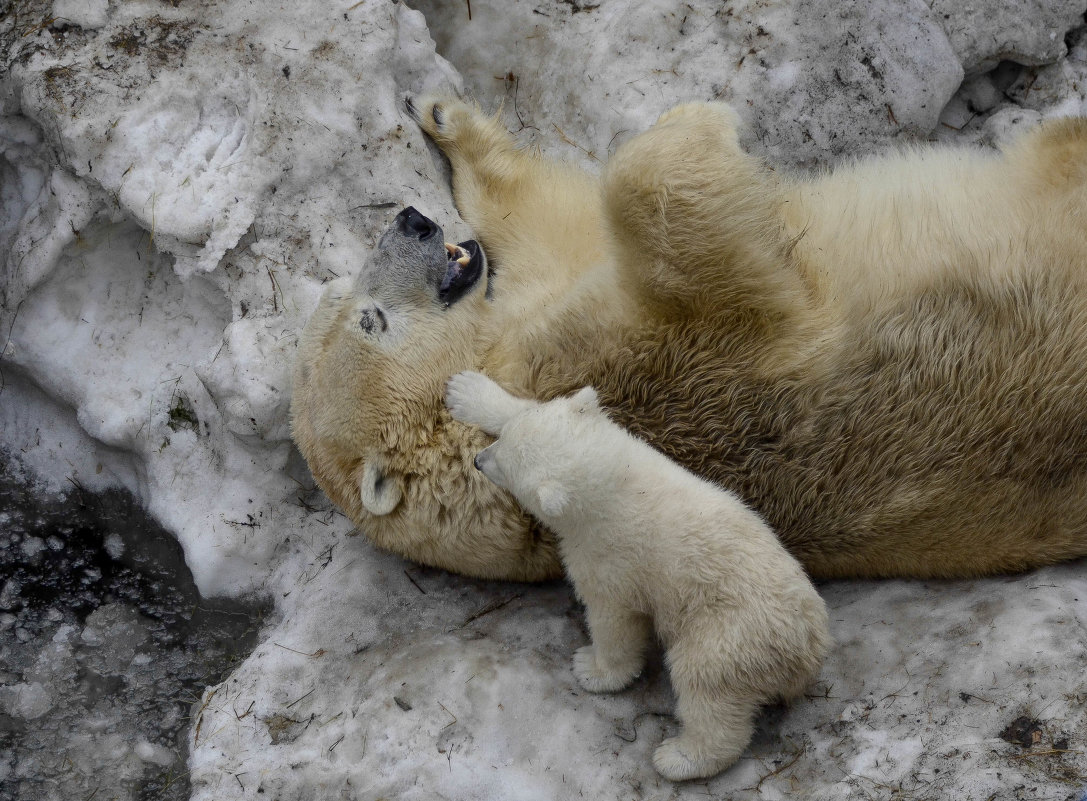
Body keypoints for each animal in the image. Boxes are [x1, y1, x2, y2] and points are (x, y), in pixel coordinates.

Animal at [293, 95, 1087, 582]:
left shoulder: (536, 305)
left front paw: (445, 119)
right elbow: (683, 241)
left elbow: (554, 222)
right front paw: (703, 118)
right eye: (371, 318)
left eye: (341, 298)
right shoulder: (630, 363)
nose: (410, 221)